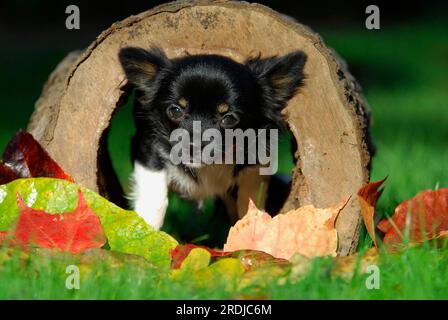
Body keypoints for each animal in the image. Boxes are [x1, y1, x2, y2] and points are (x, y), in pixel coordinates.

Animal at [119, 46, 306, 229]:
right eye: (175, 110)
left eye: (229, 118)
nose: (193, 146)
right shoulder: (149, 148)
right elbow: (154, 197)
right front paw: (148, 229)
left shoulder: (255, 163)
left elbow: (249, 200)